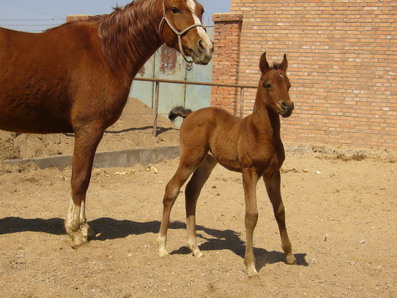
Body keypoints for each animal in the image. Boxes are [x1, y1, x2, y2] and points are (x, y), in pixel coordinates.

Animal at [0, 0, 213, 247]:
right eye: (175, 9)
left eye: (201, 10)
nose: (206, 47)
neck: (105, 54)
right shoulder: (88, 128)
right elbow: (79, 178)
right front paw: (75, 231)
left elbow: (87, 177)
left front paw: (84, 226)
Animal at [156, 51, 296, 278]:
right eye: (268, 85)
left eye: (289, 85)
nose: (288, 106)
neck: (261, 133)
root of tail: (190, 114)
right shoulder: (249, 172)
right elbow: (251, 215)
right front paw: (250, 265)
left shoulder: (273, 173)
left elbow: (280, 210)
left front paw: (290, 255)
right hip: (190, 158)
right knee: (172, 188)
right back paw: (162, 246)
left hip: (207, 162)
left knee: (191, 191)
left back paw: (194, 247)